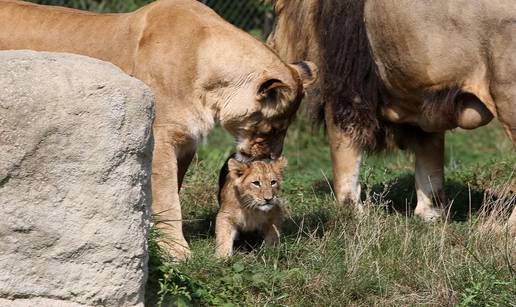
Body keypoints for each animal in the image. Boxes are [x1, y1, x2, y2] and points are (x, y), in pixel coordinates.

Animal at [0, 0, 316, 260]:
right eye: (275, 127)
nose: (271, 158)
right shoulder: (160, 137)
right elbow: (168, 199)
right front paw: (175, 250)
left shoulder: (186, 142)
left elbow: (169, 190)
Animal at [268, 0, 512, 229]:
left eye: (277, 11)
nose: (270, 43)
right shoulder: (424, 95)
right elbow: (430, 160)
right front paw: (430, 215)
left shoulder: (345, 90)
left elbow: (344, 161)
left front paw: (351, 215)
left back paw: (502, 230)